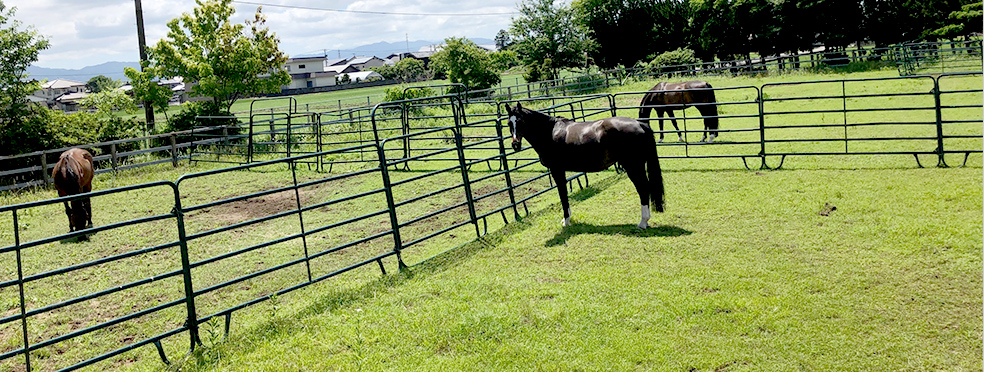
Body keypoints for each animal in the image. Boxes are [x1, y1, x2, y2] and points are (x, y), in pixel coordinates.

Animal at [504, 102, 664, 230]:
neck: (549, 132)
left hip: (633, 166)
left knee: (643, 188)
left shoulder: (557, 170)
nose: (515, 144)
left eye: (520, 121)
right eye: (509, 123)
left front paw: (566, 221)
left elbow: (562, 194)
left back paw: (642, 222)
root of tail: (640, 124)